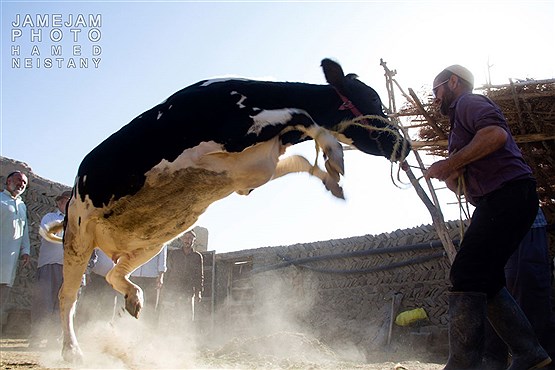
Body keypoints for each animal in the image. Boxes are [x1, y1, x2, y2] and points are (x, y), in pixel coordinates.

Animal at [42, 58, 408, 362]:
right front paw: (335, 153)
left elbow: (302, 160)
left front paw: (332, 176)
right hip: (78, 239)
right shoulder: (236, 133)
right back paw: (71, 350)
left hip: (151, 245)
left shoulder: (253, 171)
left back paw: (133, 299)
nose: (403, 144)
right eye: (373, 100)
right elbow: (302, 115)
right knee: (66, 298)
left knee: (115, 274)